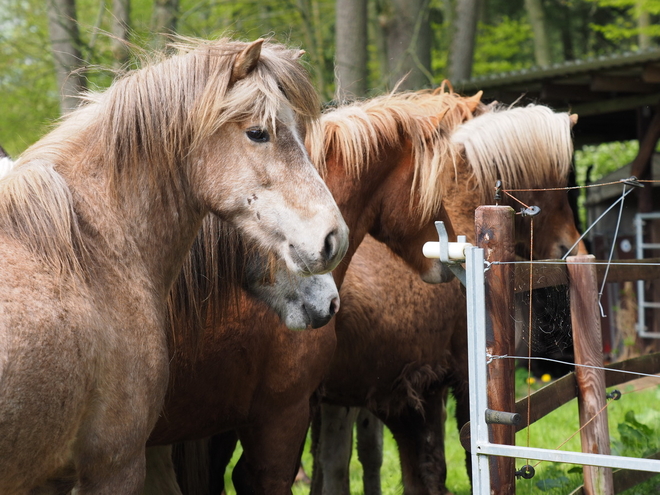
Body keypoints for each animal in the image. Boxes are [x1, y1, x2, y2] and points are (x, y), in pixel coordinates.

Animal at [314, 101, 588, 495]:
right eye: (562, 181)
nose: (572, 249)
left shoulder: (413, 390)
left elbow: (422, 470)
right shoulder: (457, 378)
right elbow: (468, 456)